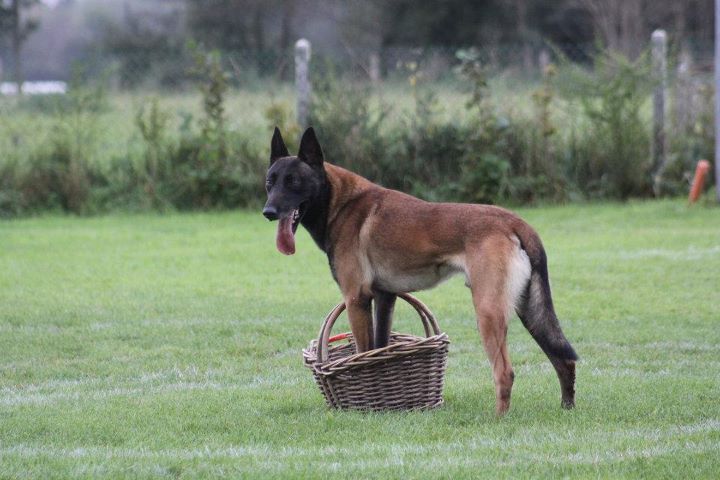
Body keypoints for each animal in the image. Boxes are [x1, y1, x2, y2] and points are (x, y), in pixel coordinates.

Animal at [262, 126, 576, 412]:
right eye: (270, 182)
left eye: (294, 181)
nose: (268, 212)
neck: (340, 202)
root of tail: (513, 220)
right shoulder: (385, 297)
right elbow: (378, 347)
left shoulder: (355, 299)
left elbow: (363, 350)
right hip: (529, 310)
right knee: (563, 358)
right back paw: (566, 407)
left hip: (488, 311)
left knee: (505, 372)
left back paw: (498, 419)